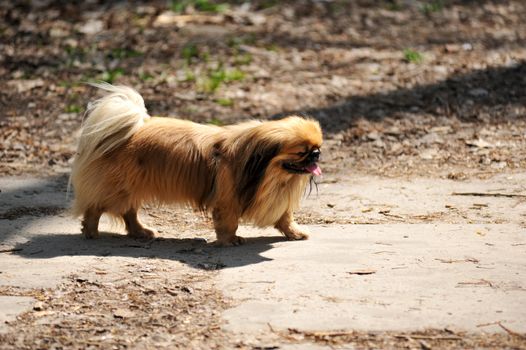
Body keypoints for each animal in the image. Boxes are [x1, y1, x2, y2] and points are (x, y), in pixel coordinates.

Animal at [71, 83, 324, 246]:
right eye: (301, 152)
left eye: (317, 147)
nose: (316, 154)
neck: (268, 174)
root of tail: (130, 130)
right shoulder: (227, 201)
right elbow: (228, 222)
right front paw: (230, 240)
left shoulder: (277, 200)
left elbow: (285, 218)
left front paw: (294, 233)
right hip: (117, 189)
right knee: (96, 208)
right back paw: (91, 232)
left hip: (130, 188)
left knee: (129, 212)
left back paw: (140, 232)